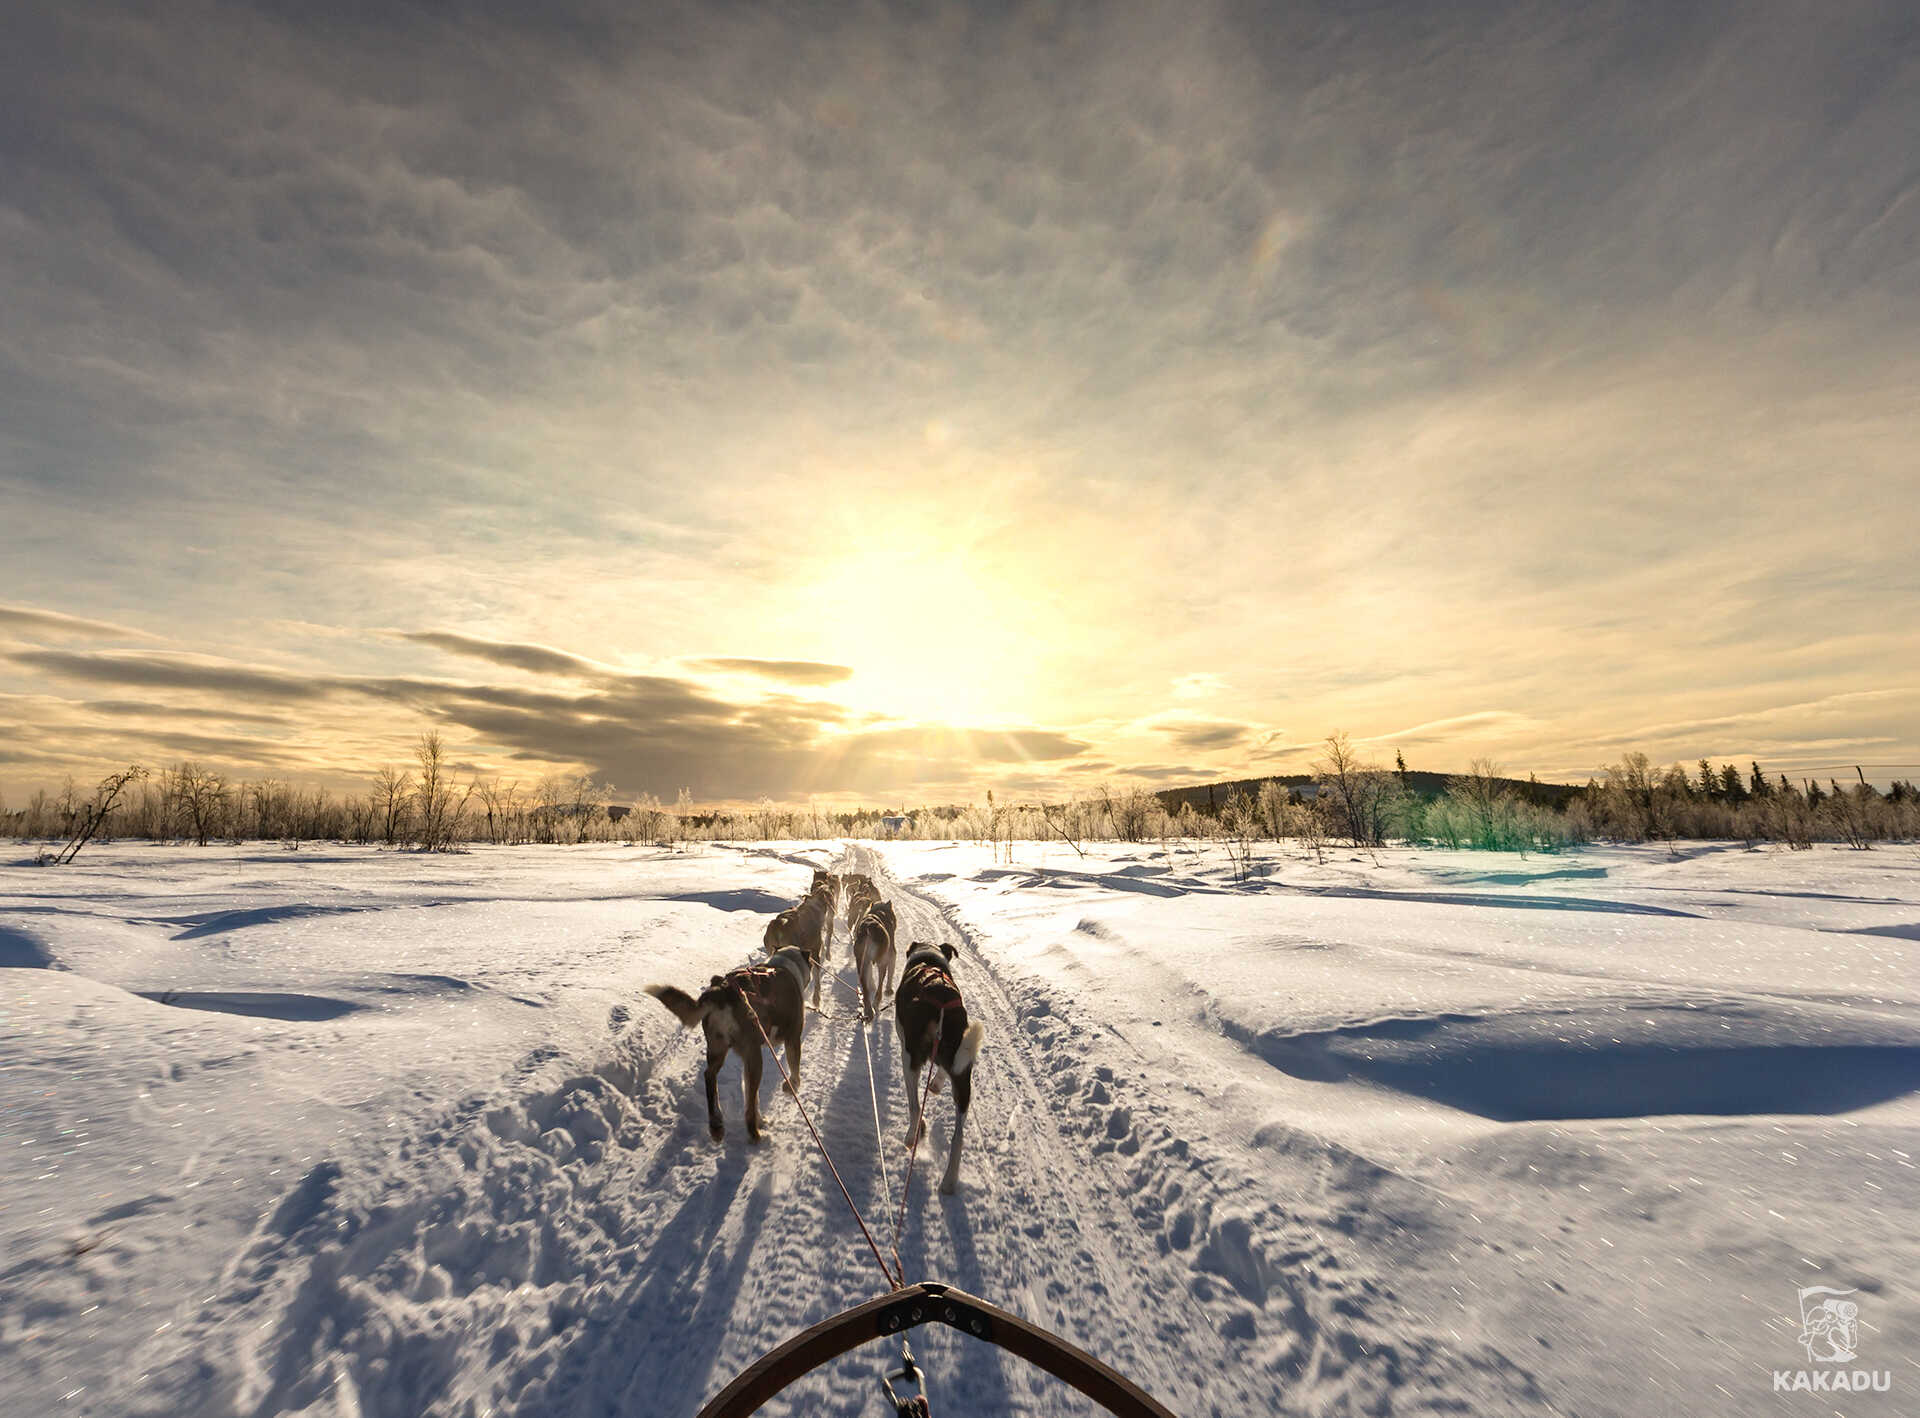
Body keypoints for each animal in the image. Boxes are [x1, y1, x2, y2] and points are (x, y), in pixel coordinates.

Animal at [890, 947, 983, 1189]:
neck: (928, 957)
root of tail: (941, 1005)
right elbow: (942, 1071)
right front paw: (936, 1084)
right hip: (963, 1083)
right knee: (958, 1138)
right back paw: (949, 1182)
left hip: (909, 1061)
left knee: (914, 1107)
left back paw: (911, 1136)